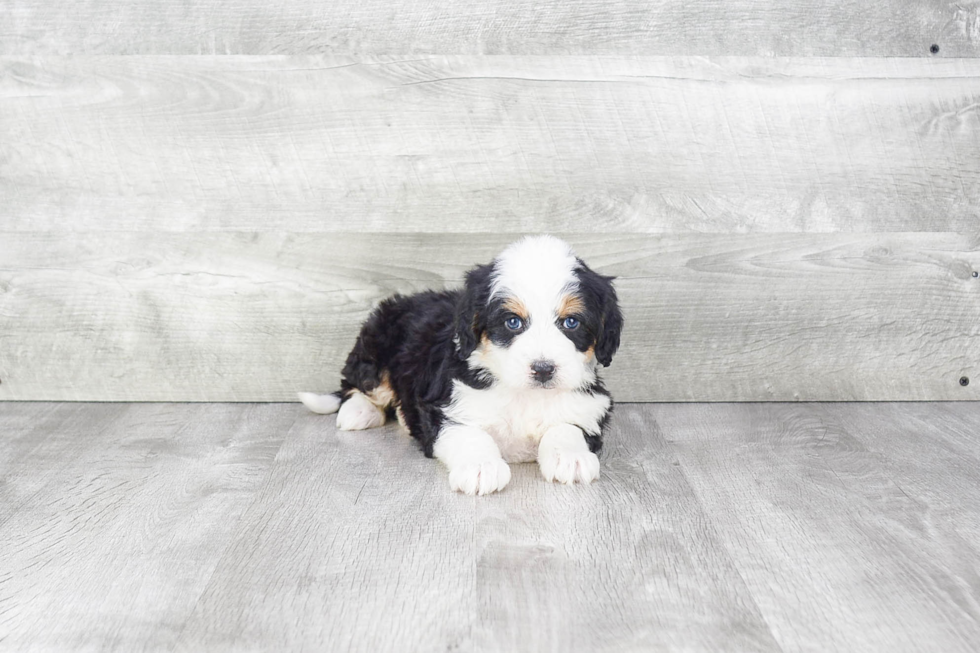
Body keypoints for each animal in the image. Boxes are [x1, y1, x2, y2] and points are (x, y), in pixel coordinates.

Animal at [294, 234, 624, 494]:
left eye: (571, 322)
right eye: (512, 322)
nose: (543, 369)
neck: (524, 394)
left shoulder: (590, 406)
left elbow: (567, 426)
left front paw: (571, 457)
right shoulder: (444, 405)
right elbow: (469, 432)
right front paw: (481, 467)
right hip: (375, 343)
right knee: (358, 384)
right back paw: (359, 411)